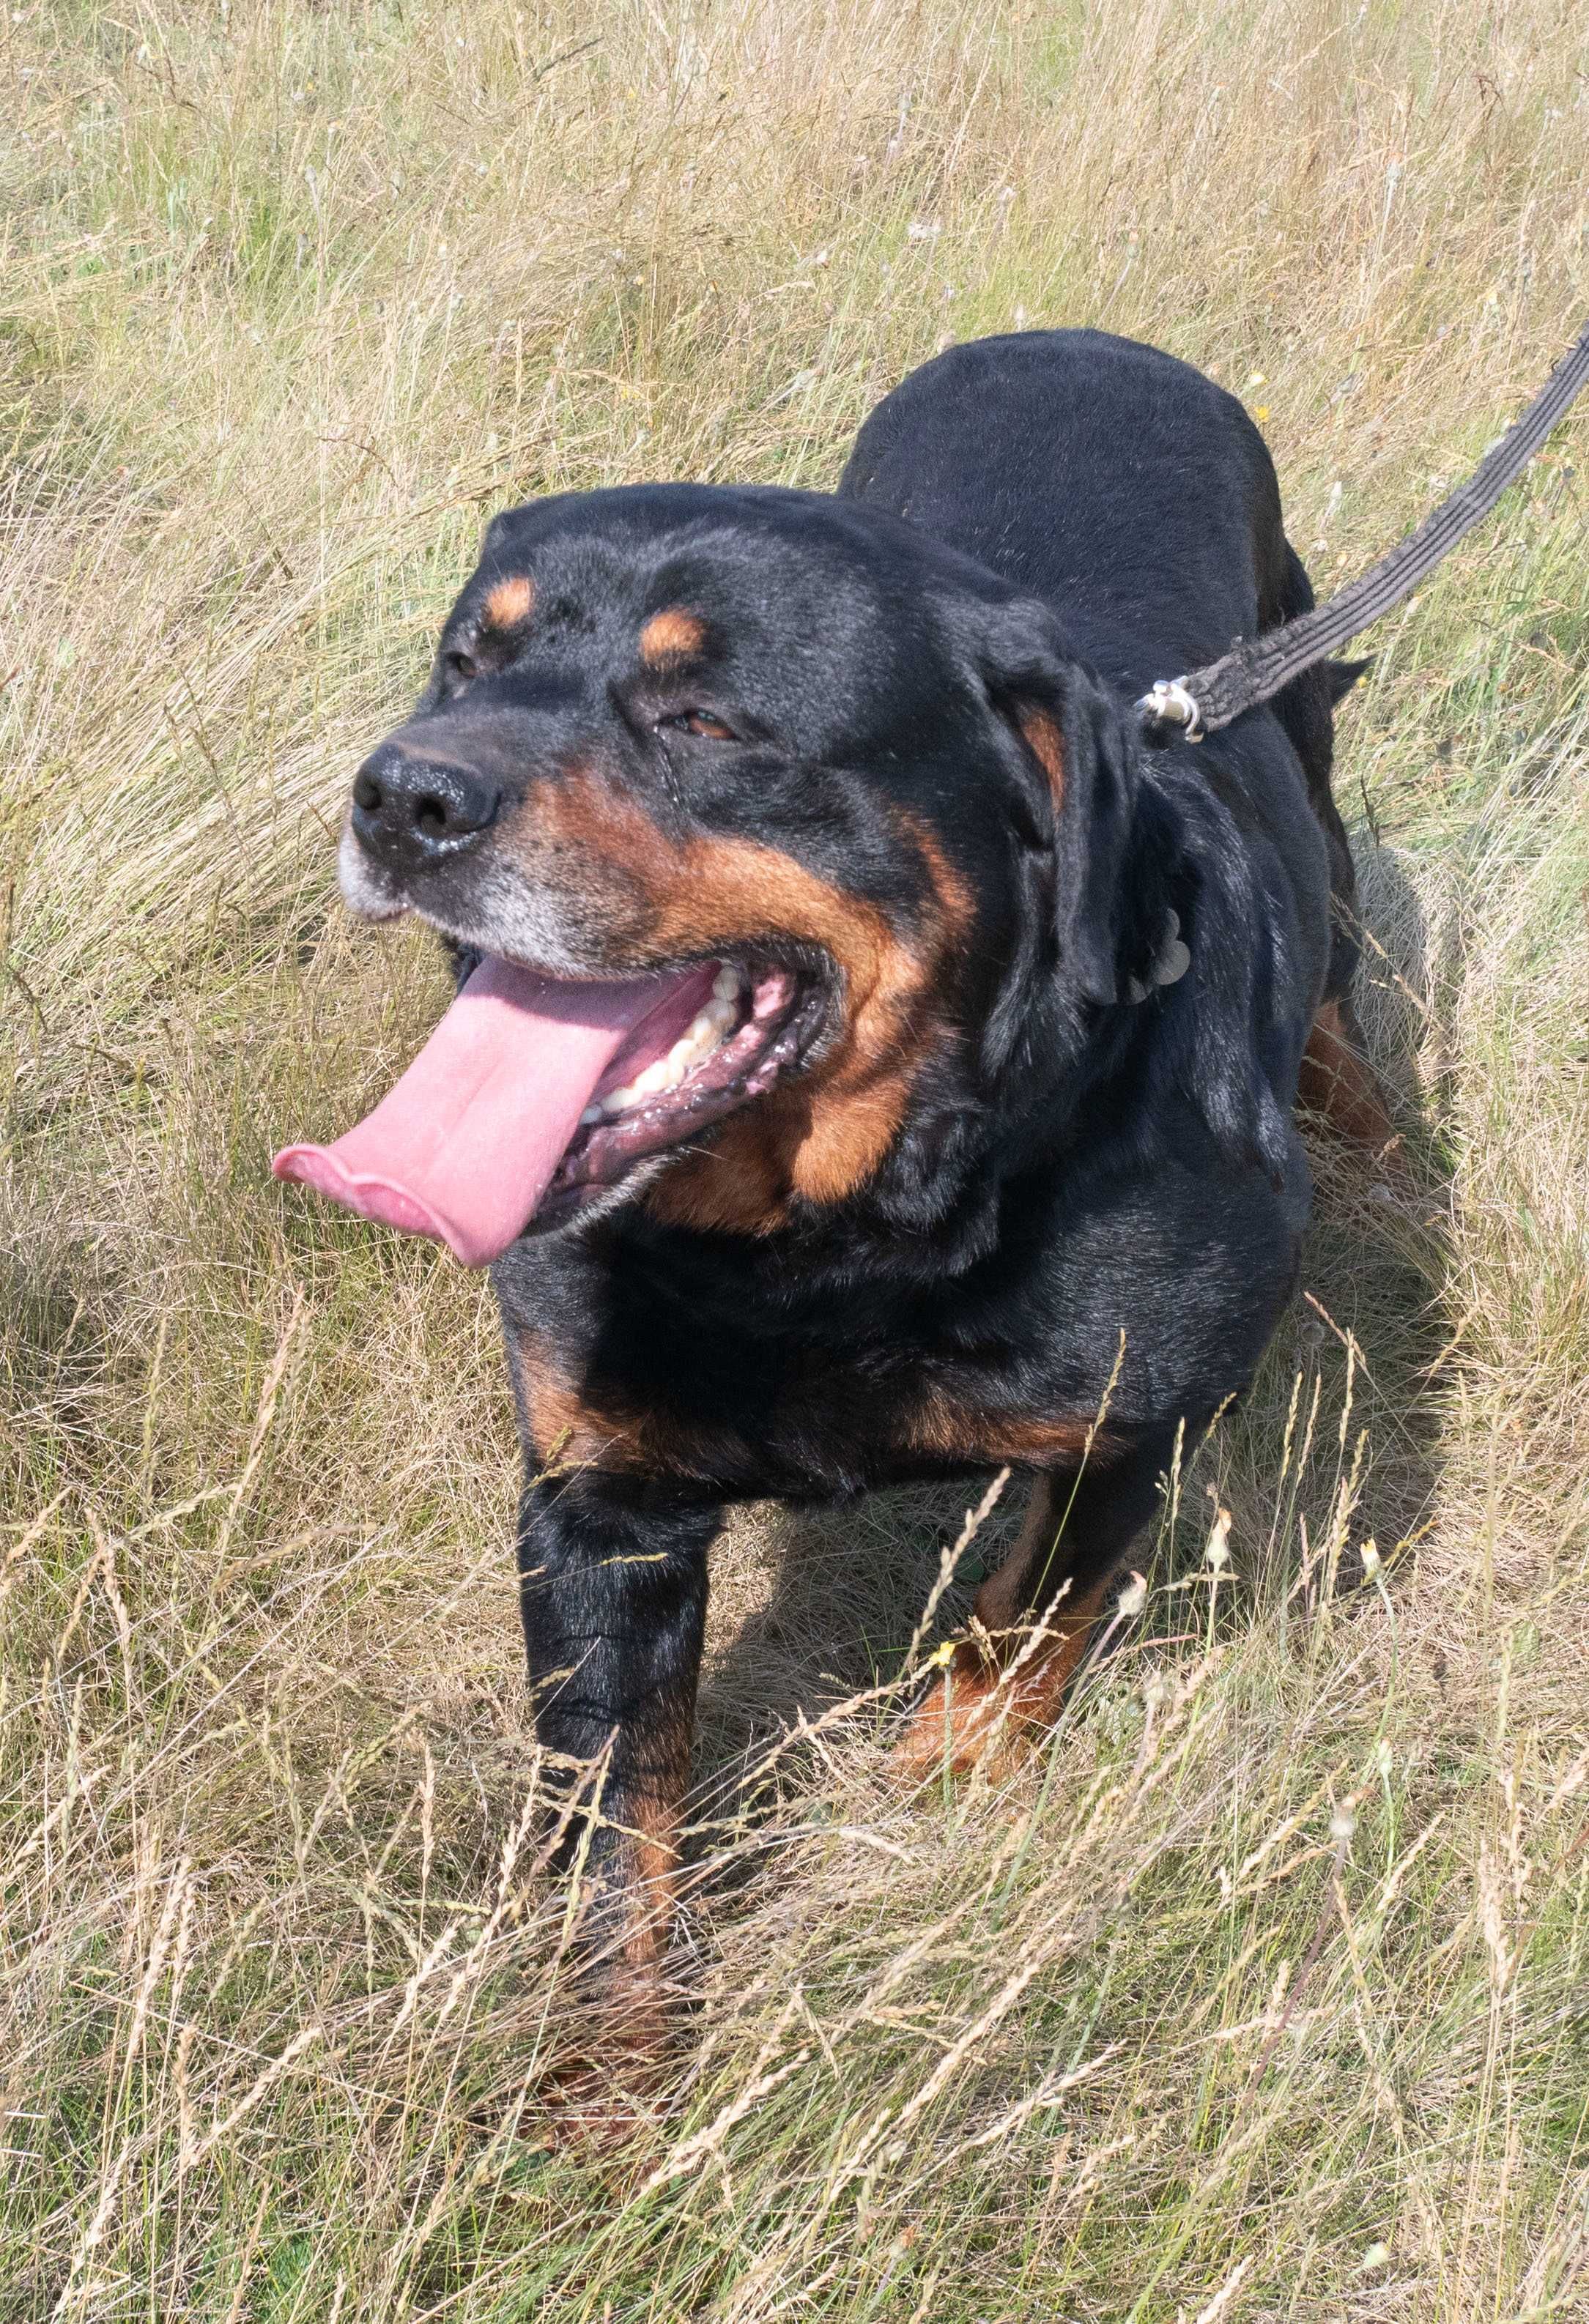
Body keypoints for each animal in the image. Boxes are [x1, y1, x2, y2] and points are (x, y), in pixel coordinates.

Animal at [278, 327, 1393, 2091]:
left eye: (703, 714)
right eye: (465, 662)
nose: (401, 796)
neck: (843, 1234)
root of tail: (1084, 336)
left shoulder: (1130, 1426)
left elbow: (1021, 1627)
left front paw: (943, 1786)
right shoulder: (599, 1504)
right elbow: (613, 1829)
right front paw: (597, 2098)